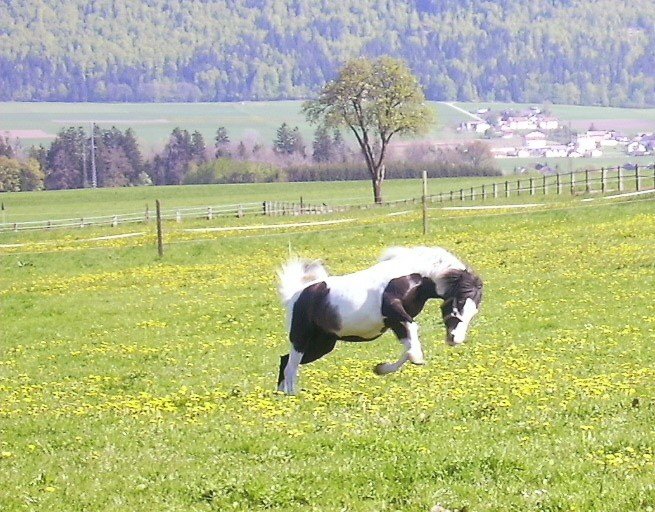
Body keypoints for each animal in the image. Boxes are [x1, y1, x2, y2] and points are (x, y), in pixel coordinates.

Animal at [276, 246, 483, 395]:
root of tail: (296, 294)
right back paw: (293, 395)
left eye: (474, 310)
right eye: (460, 301)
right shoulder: (394, 311)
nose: (455, 339)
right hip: (301, 339)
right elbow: (413, 340)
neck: (412, 276)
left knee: (285, 360)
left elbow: (409, 348)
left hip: (323, 344)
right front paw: (405, 361)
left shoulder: (395, 323)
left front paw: (380, 368)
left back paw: (282, 394)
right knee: (291, 366)